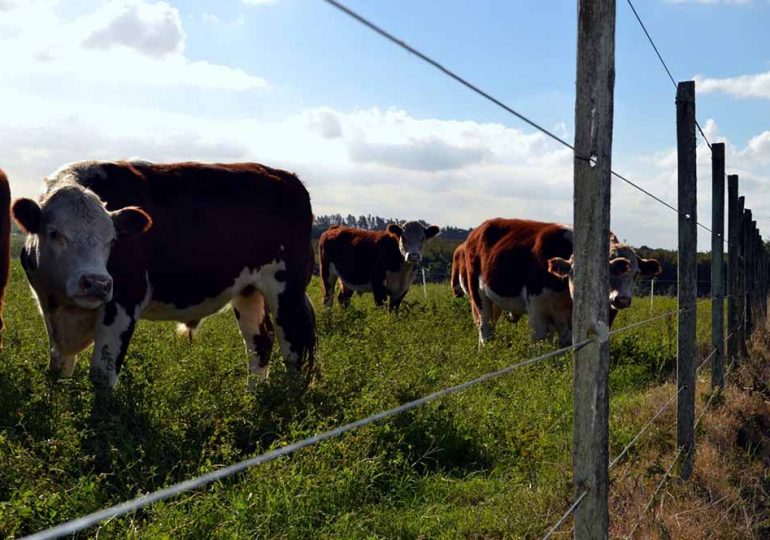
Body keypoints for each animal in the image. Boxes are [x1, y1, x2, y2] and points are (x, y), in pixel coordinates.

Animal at [11, 160, 316, 388]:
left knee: (293, 346)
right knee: (259, 342)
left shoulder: (122, 304)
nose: (96, 283)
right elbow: (58, 367)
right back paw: (253, 396)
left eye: (112, 240)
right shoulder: (48, 306)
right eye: (55, 233)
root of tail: (286, 177)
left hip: (286, 290)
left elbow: (101, 376)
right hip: (248, 291)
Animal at [460, 218, 656, 346]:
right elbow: (540, 341)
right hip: (478, 296)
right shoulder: (537, 311)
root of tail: (478, 230)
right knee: (485, 327)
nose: (621, 299)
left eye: (636, 274)